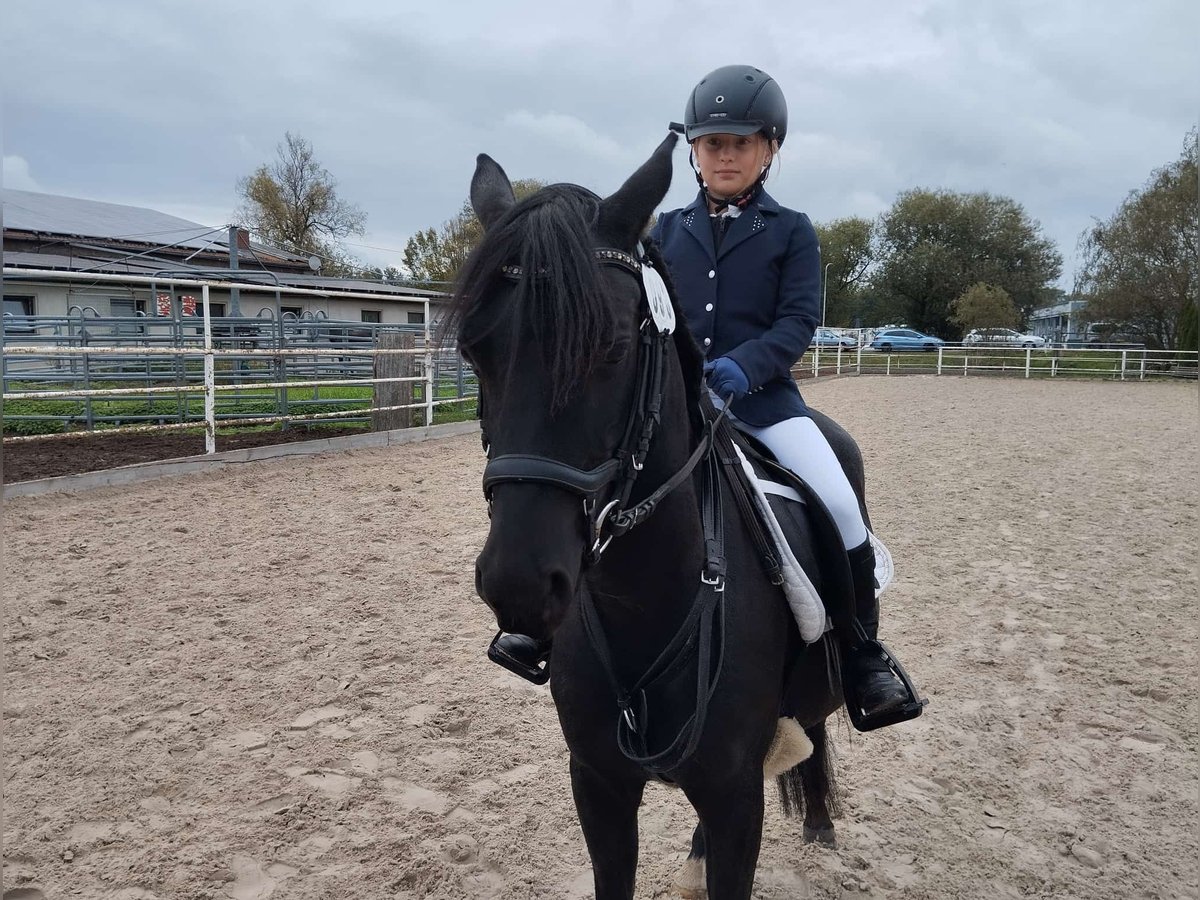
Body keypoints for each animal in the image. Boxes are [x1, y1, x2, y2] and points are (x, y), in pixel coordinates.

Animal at [453, 135, 859, 900]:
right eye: (474, 350)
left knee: (817, 725)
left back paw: (821, 822)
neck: (641, 604)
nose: (518, 581)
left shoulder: (736, 796)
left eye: (611, 347)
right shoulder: (599, 784)